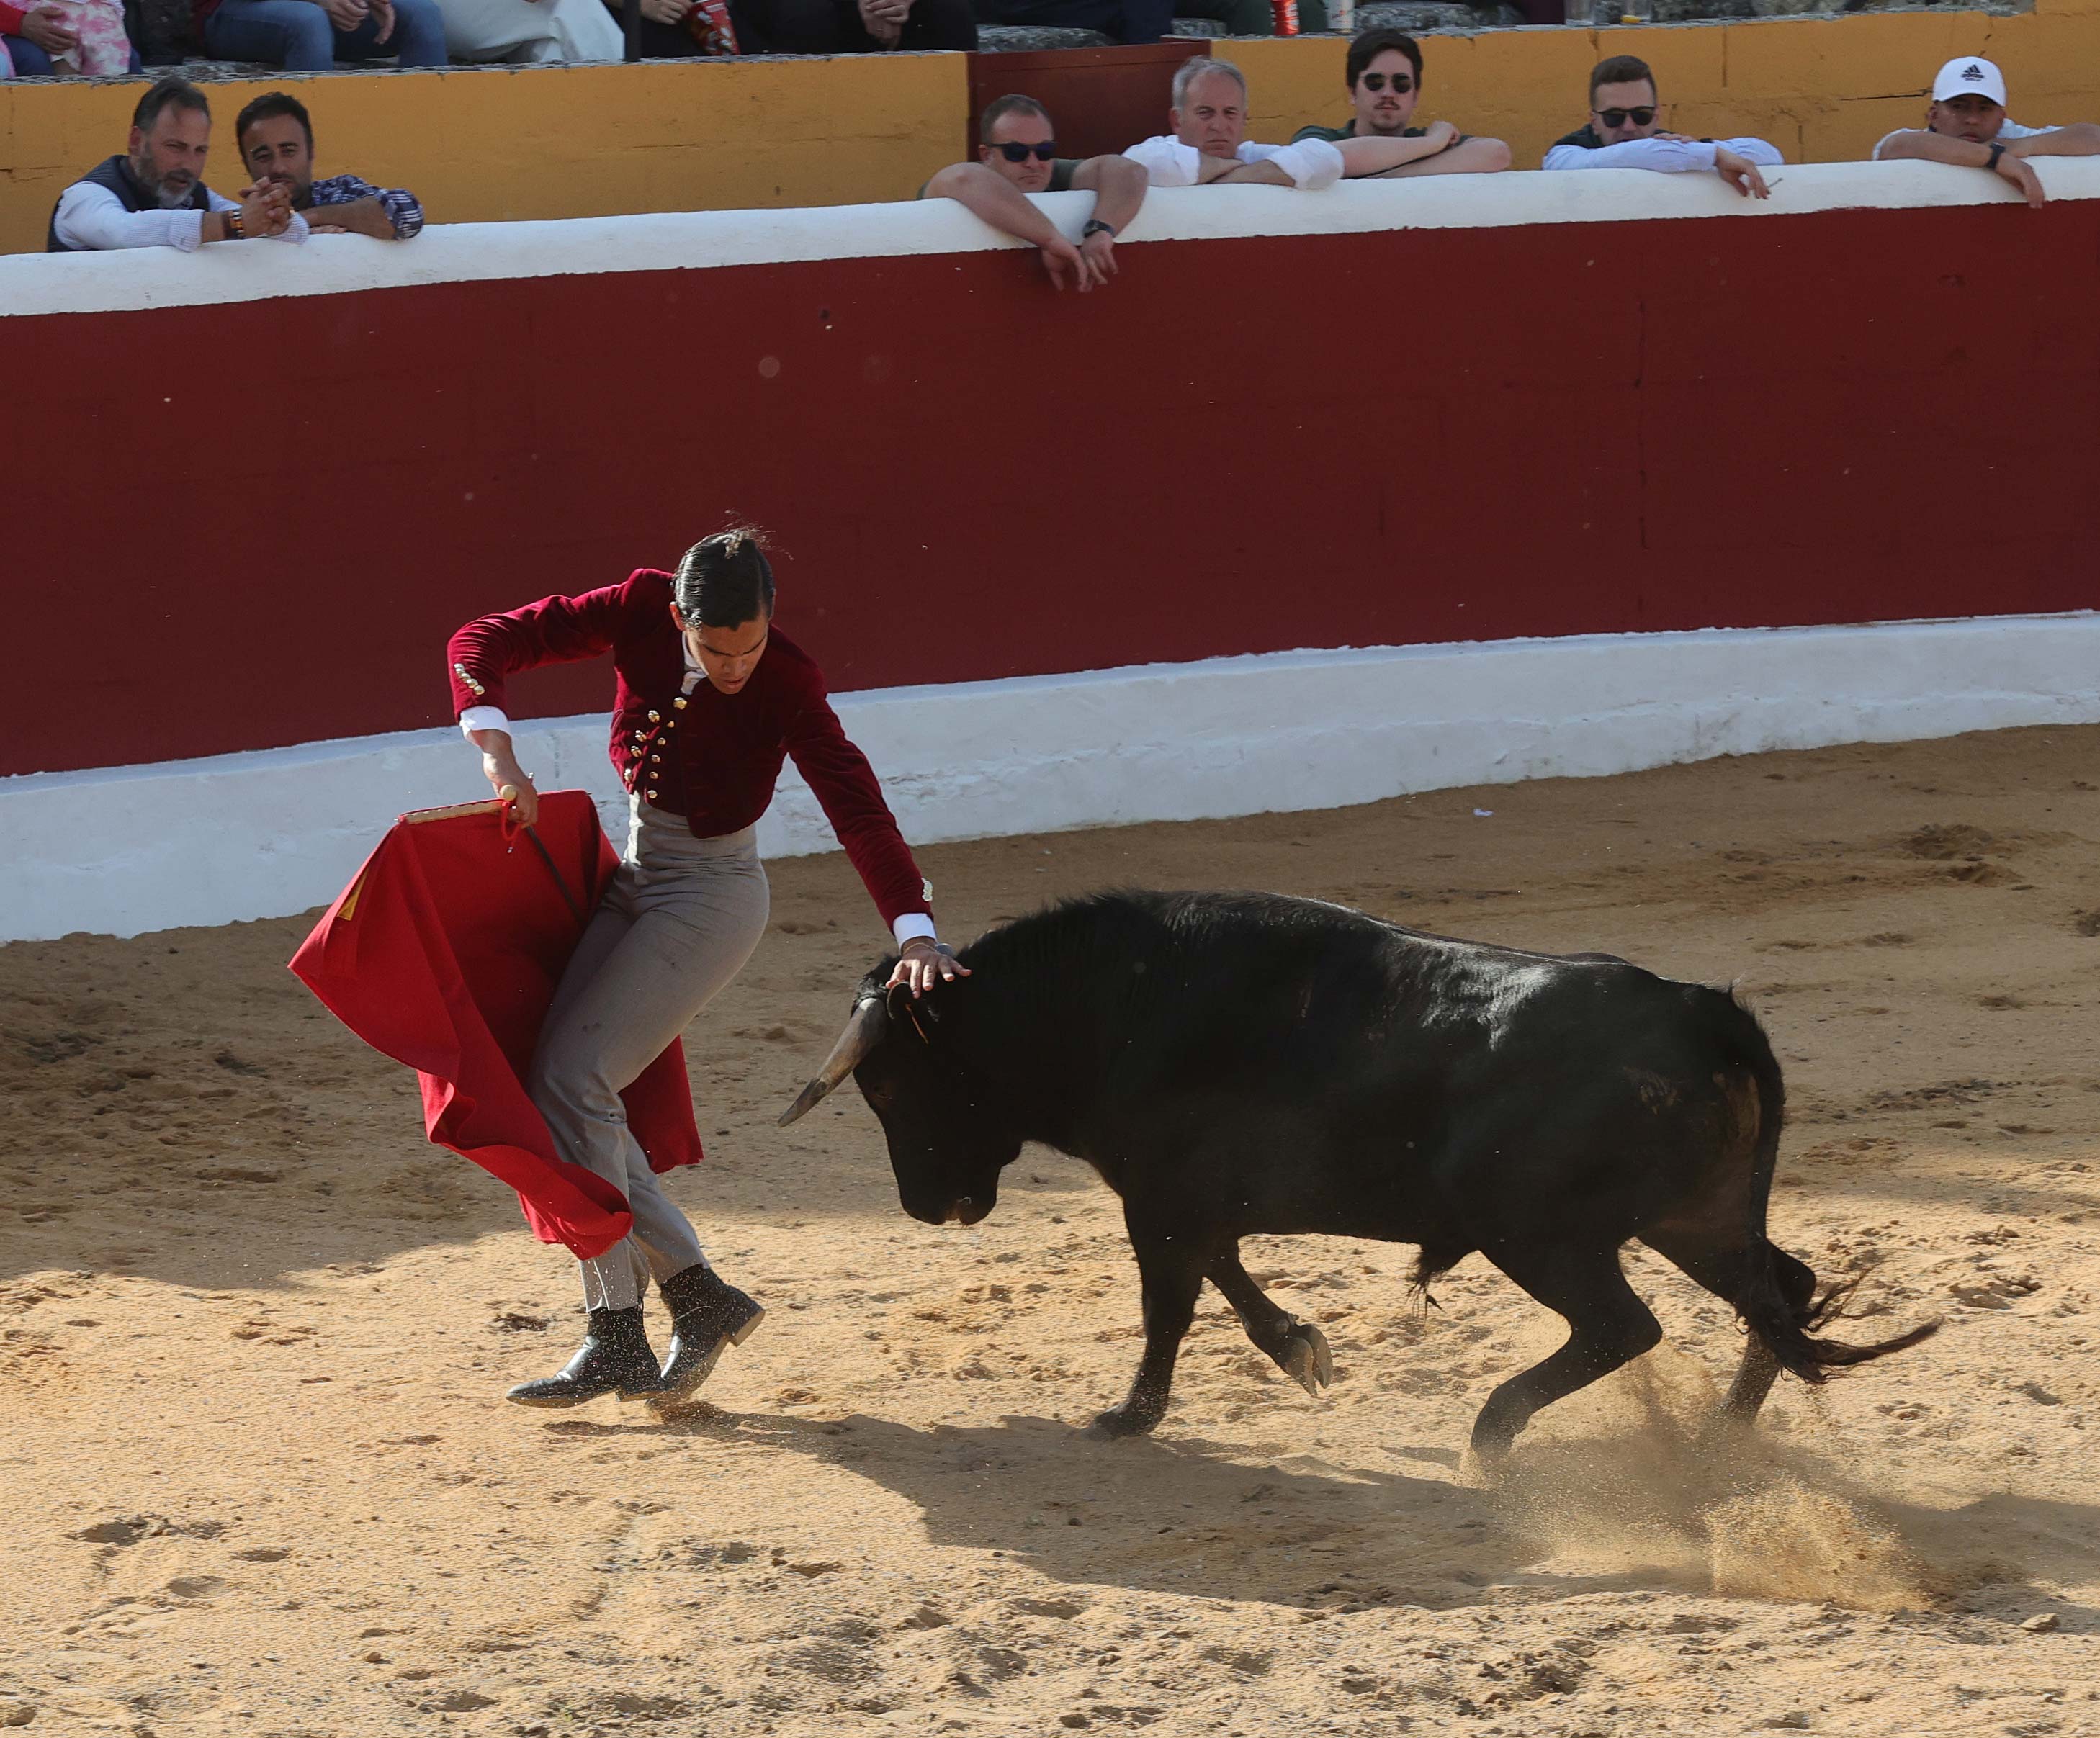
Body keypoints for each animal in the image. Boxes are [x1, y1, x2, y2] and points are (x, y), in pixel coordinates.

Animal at [776, 893, 1931, 1452]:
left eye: (888, 1085)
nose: (931, 1205)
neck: (1103, 1004)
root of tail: (1705, 1011)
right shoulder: (1191, 1198)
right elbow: (1225, 1275)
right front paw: (1300, 1348)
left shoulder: (1159, 1196)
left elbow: (1170, 1302)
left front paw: (1128, 1416)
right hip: (1691, 1214)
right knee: (1778, 1291)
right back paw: (1721, 1443)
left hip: (1541, 1232)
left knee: (1626, 1324)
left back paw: (1494, 1434)